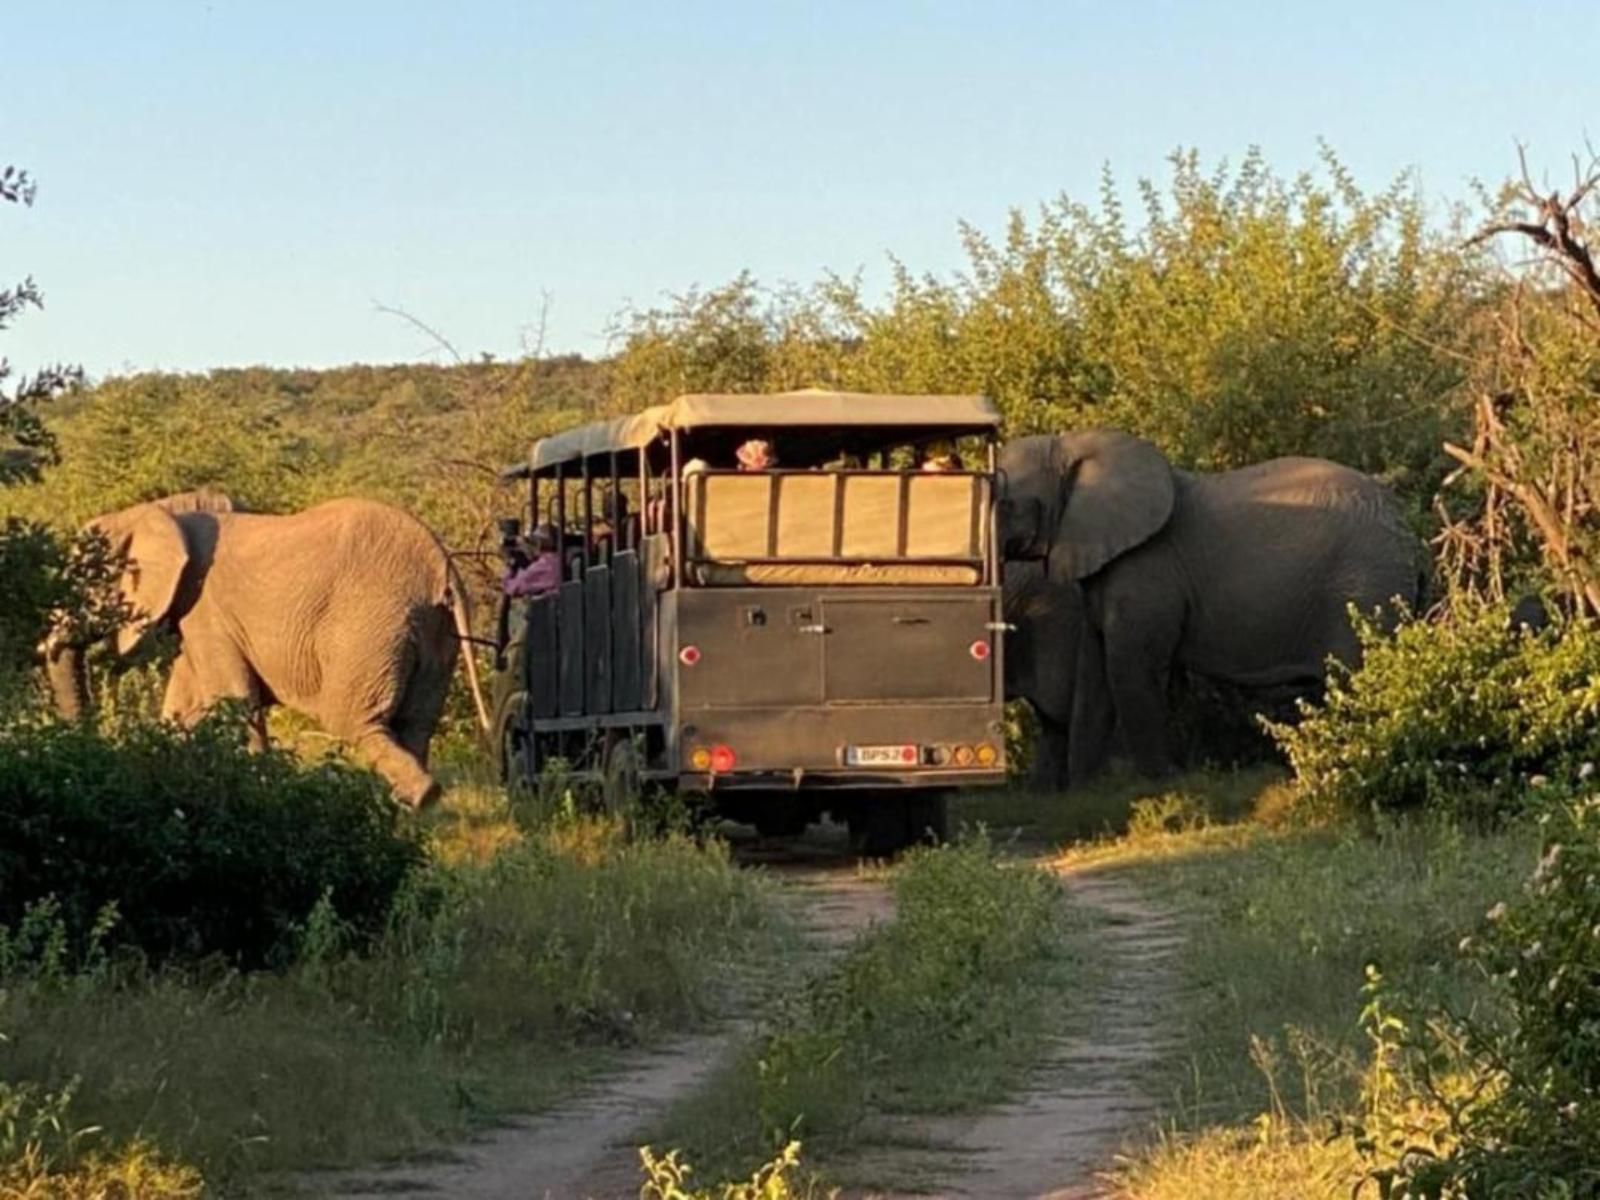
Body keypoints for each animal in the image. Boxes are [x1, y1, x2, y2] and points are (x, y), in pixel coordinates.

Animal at [46, 489, 489, 809]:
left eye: (83, 575)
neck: (158, 511)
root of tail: (442, 566)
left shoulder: (207, 609)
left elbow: (233, 701)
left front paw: (258, 792)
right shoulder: (198, 617)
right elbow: (186, 708)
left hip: (371, 626)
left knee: (353, 720)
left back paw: (415, 801)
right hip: (435, 634)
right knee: (415, 724)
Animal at [998, 432, 1427, 790]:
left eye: (1002, 500)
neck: (1073, 443)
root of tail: (1413, 538)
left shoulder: (1147, 570)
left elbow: (1131, 670)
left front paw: (1162, 783)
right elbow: (1095, 676)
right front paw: (1084, 794)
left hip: (1365, 586)